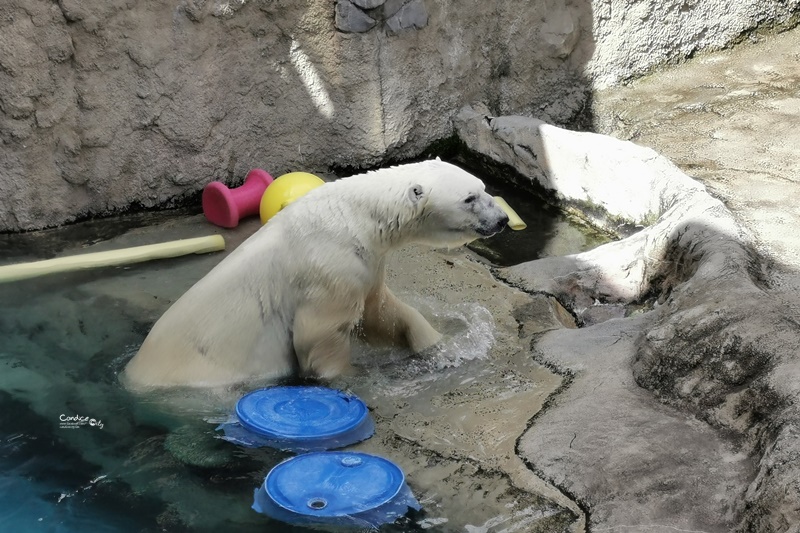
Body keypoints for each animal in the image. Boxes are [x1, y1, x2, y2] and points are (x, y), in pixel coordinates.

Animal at [122, 160, 510, 388]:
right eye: (469, 198)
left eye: (484, 187)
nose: (503, 219)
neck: (354, 216)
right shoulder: (328, 268)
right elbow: (320, 335)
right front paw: (354, 376)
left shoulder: (366, 263)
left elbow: (381, 313)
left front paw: (437, 344)